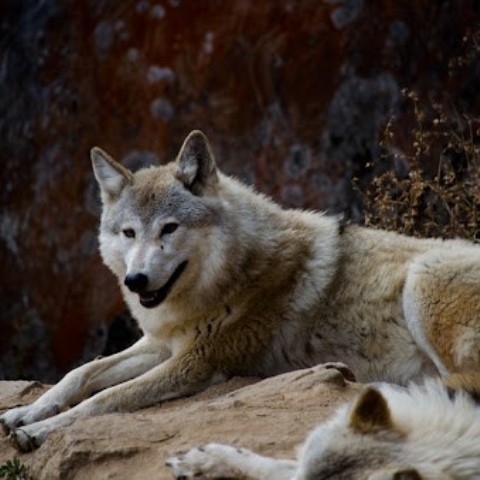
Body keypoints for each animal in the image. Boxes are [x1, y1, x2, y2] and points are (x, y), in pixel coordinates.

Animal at [0, 128, 480, 450]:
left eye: (169, 228)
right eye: (129, 233)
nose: (136, 281)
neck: (229, 277)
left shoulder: (195, 364)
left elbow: (105, 399)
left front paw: (39, 431)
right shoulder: (162, 343)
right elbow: (80, 374)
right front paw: (25, 412)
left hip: (420, 280)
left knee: (459, 380)